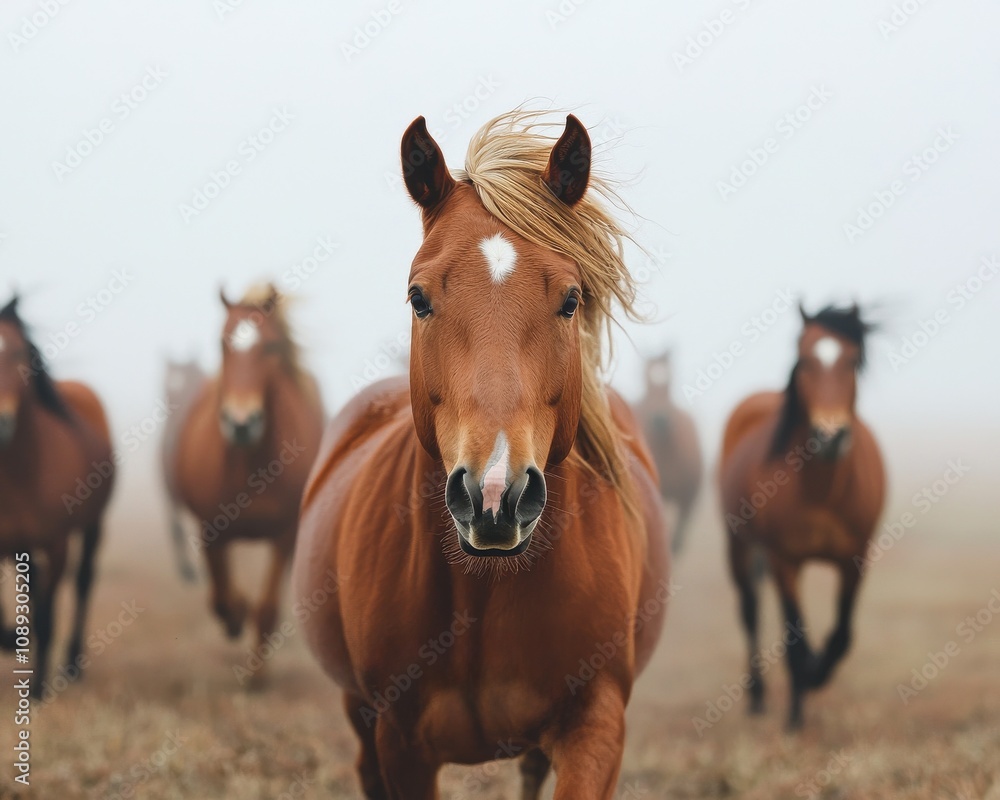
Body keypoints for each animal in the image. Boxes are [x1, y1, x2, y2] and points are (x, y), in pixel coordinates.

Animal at [0, 295, 114, 697]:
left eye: (19, 352)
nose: (1, 422)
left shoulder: (56, 543)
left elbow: (48, 615)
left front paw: (37, 691)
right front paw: (11, 639)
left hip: (94, 526)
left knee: (82, 582)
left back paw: (72, 664)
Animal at [173, 284, 323, 663]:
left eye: (269, 346)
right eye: (222, 343)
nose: (242, 424)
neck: (251, 468)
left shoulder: (286, 534)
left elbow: (266, 610)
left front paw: (256, 670)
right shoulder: (210, 529)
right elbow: (220, 599)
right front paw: (236, 615)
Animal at [718, 303, 885, 729]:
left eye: (852, 360)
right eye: (806, 361)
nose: (830, 436)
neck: (823, 492)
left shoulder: (855, 558)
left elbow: (842, 634)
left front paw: (815, 676)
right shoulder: (785, 559)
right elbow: (794, 638)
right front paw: (796, 713)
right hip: (739, 545)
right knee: (750, 611)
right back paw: (759, 696)